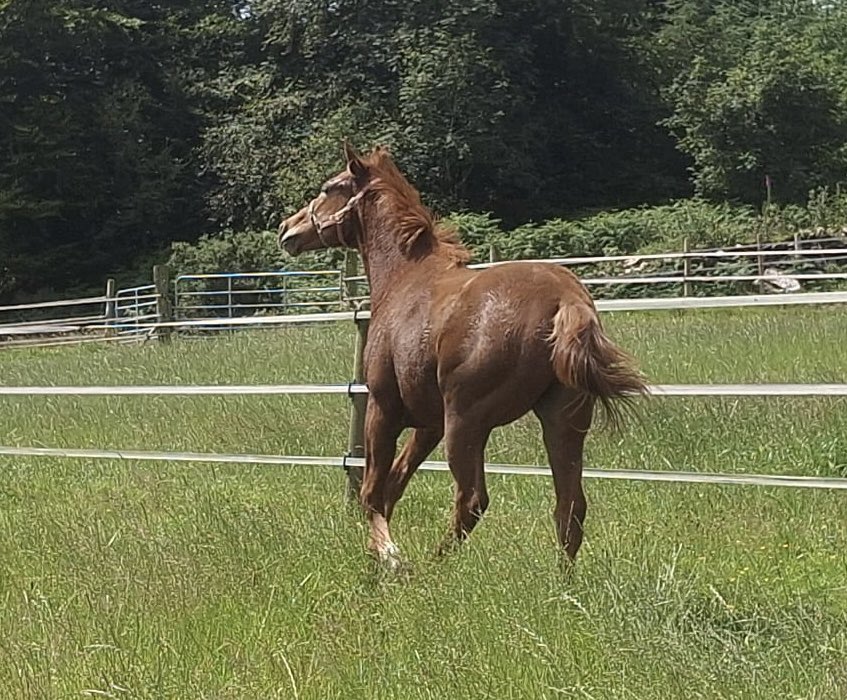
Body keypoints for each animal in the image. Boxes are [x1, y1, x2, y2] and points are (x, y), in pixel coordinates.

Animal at [278, 143, 647, 567]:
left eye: (328, 187)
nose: (286, 229)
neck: (404, 278)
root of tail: (566, 300)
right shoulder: (428, 424)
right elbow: (394, 485)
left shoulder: (383, 408)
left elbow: (373, 491)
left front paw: (388, 555)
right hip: (562, 421)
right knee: (569, 506)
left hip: (467, 424)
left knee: (472, 500)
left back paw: (432, 566)